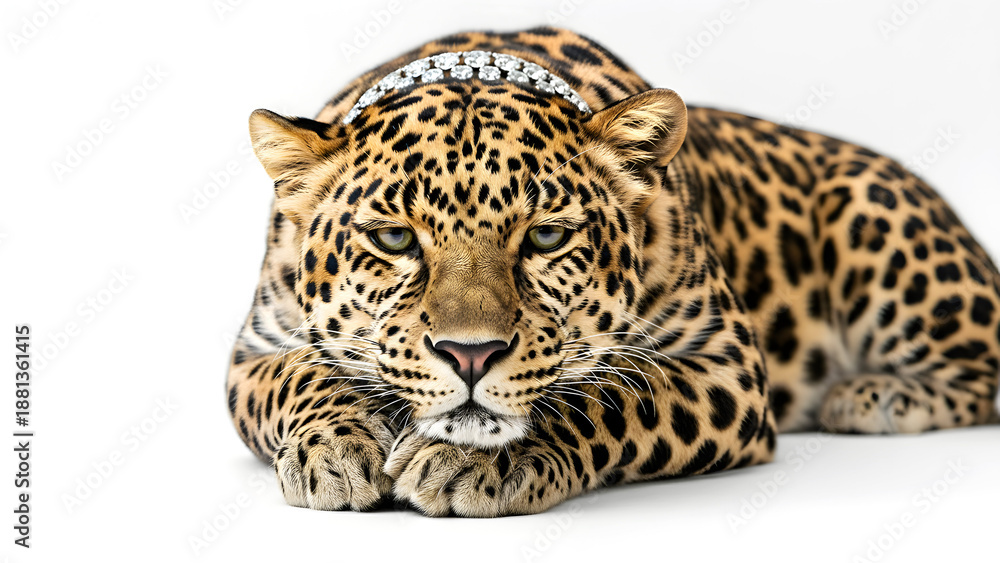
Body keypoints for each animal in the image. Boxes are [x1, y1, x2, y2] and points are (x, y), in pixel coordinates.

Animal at [226, 26, 1000, 517]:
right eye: (393, 237)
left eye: (546, 236)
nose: (469, 355)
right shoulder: (254, 351)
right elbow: (299, 376)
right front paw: (337, 447)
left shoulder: (726, 364)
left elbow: (613, 396)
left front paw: (477, 459)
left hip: (869, 211)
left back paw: (872, 395)